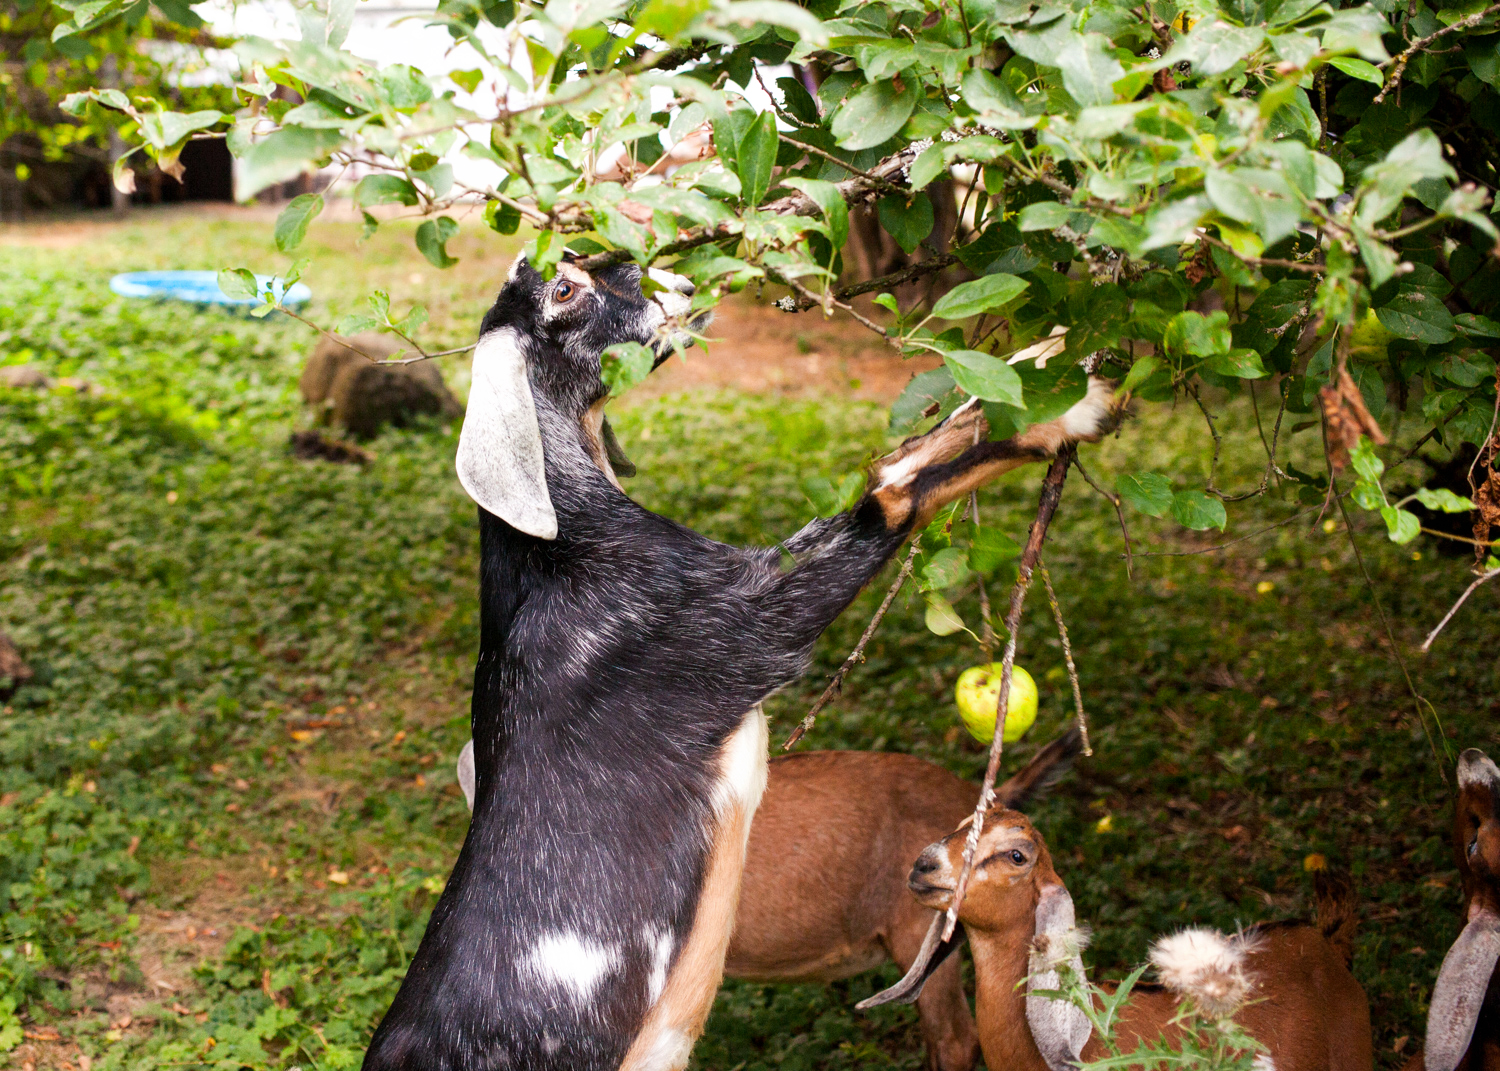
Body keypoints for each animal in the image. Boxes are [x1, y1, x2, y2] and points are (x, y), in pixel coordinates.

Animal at [357, 255, 1122, 1068]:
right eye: (562, 292)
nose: (681, 284)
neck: (560, 550)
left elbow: (895, 459)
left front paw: (1046, 364)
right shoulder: (746, 628)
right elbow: (890, 496)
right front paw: (1070, 412)